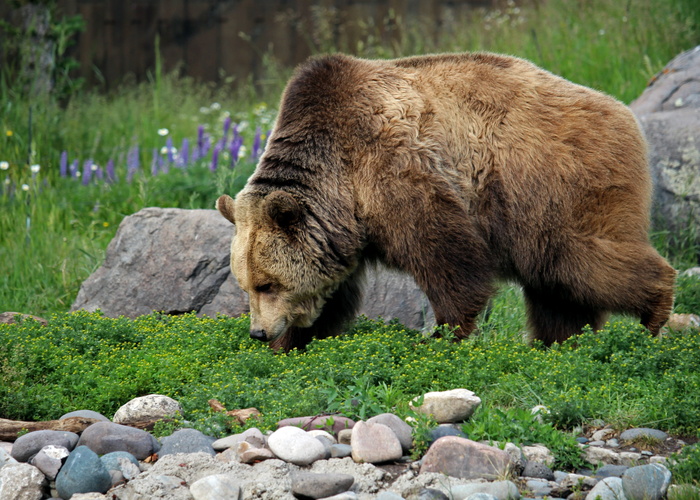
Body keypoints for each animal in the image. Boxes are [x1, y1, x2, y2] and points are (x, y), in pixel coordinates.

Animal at [217, 51, 680, 352]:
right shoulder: (340, 229)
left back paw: (654, 312)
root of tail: (623, 113)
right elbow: (333, 291)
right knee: (554, 288)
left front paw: (442, 334)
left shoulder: (395, 171)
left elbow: (446, 257)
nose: (258, 332)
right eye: (246, 284)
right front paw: (293, 340)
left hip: (551, 184)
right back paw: (558, 342)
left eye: (267, 283)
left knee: (577, 259)